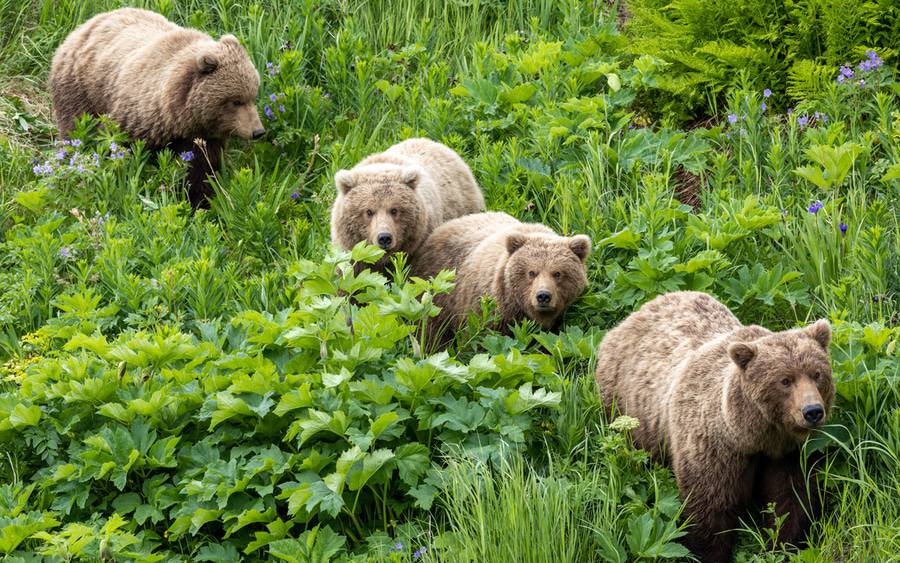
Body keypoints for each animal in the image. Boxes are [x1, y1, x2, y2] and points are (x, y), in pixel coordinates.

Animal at [48, 7, 264, 207]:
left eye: (253, 96)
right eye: (236, 101)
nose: (258, 131)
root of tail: (82, 26)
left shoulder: (202, 137)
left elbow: (201, 170)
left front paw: (198, 202)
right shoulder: (135, 116)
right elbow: (118, 148)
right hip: (80, 93)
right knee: (76, 131)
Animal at [596, 294, 832, 560]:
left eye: (817, 374)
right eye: (785, 380)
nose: (812, 411)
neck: (754, 435)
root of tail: (635, 314)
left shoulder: (789, 453)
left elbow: (792, 499)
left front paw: (783, 545)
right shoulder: (714, 448)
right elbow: (710, 507)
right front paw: (707, 552)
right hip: (624, 405)